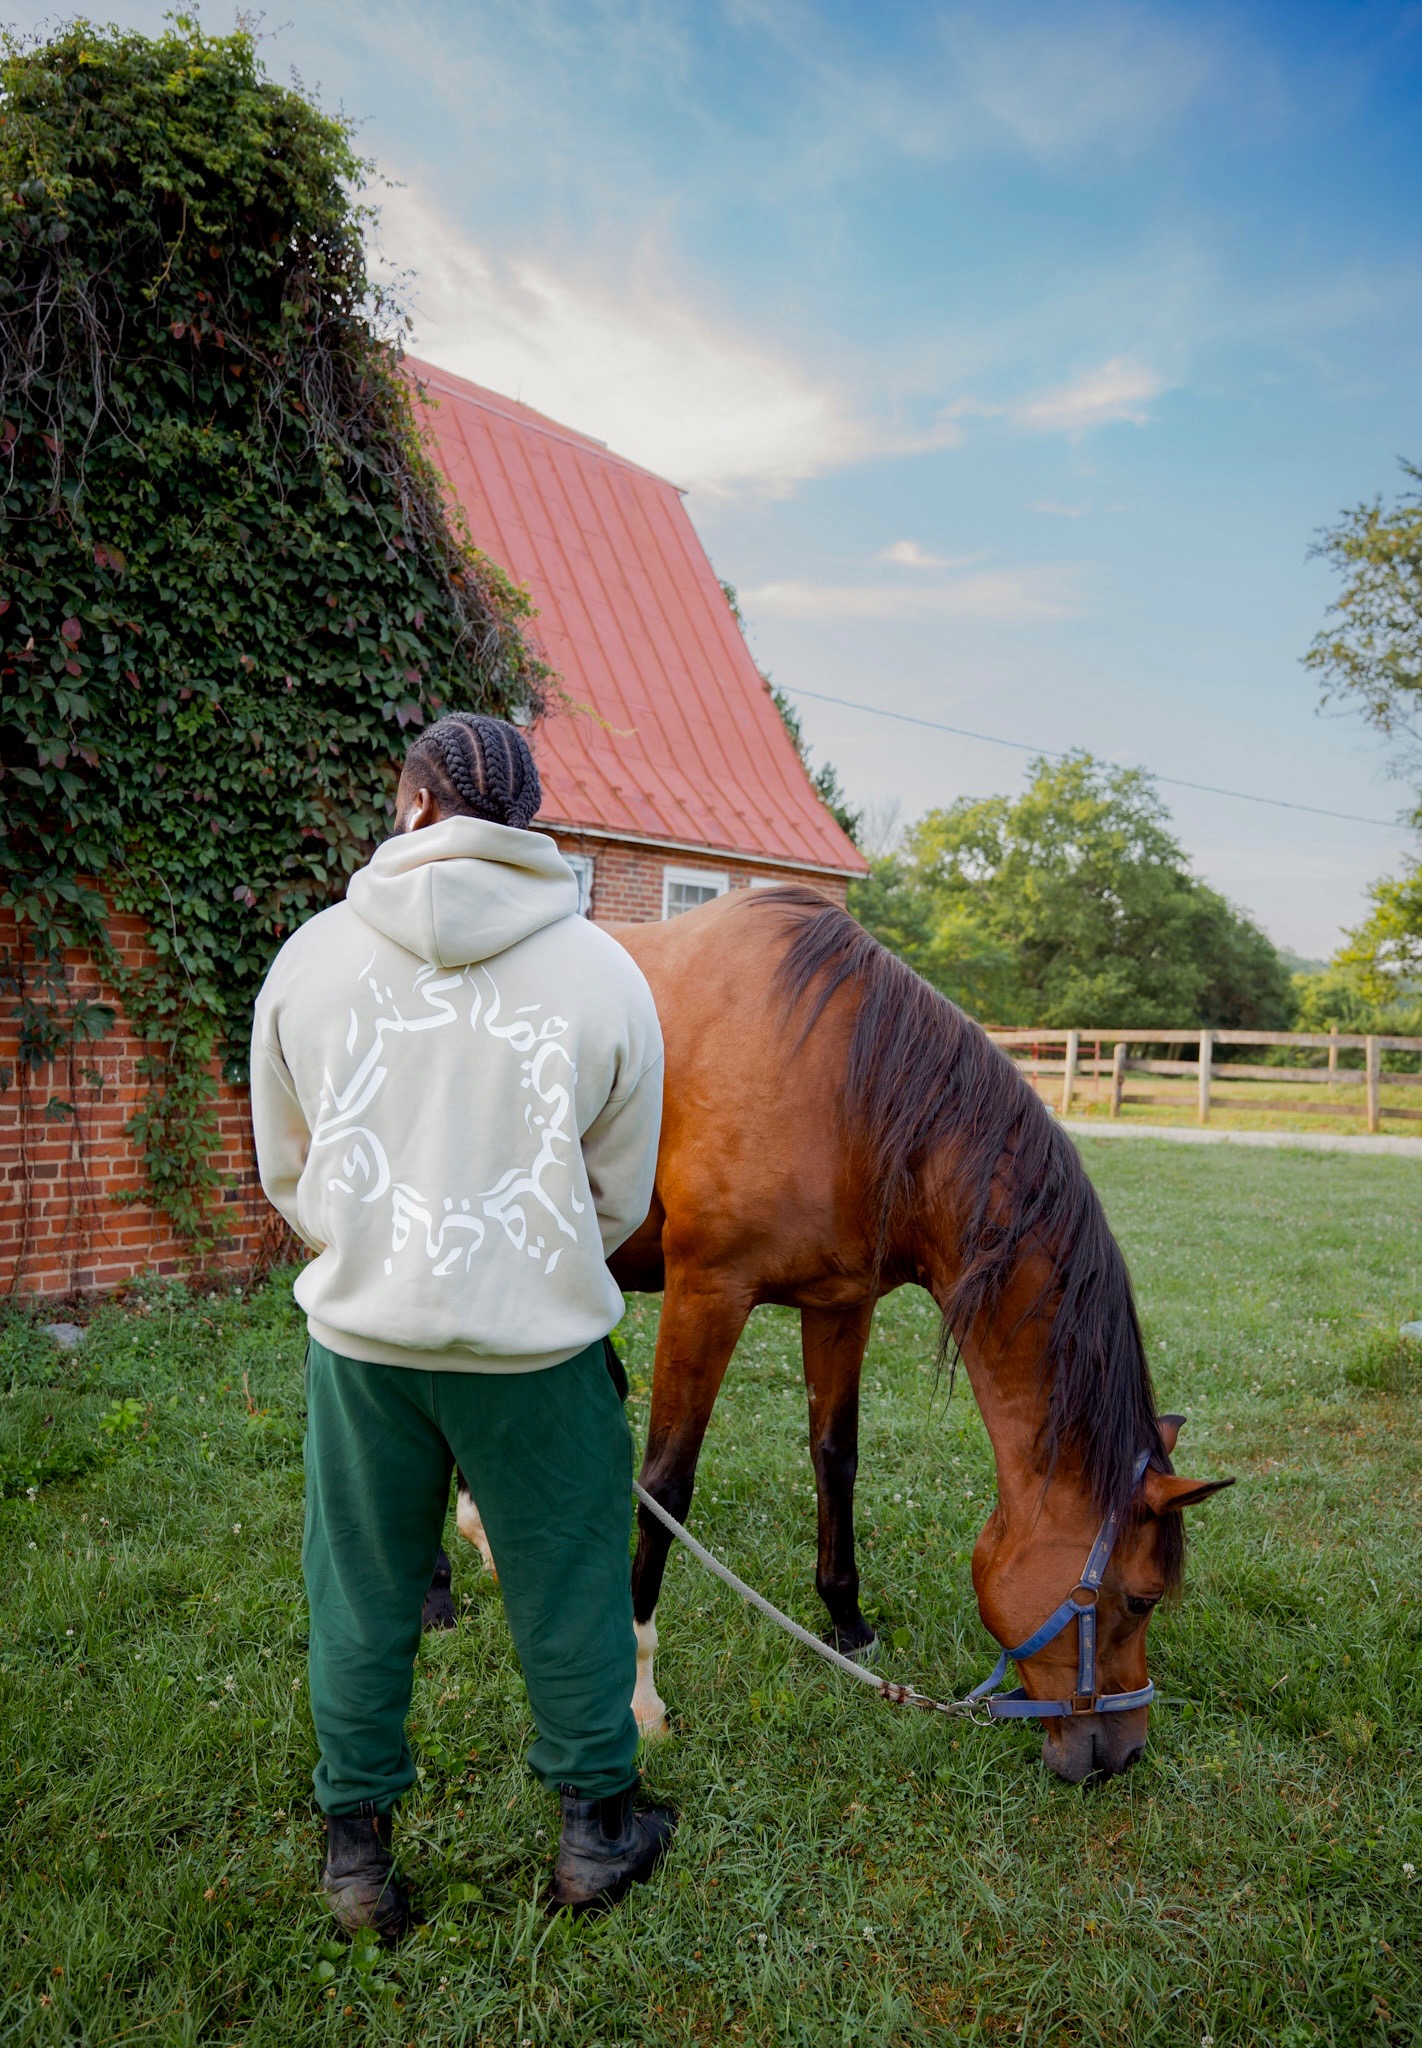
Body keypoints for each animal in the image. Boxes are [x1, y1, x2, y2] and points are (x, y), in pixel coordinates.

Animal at [439, 885, 1232, 1784]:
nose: (1117, 1756)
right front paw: (639, 1694)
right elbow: (668, 1486)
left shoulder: (841, 1306)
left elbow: (836, 1458)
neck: (845, 1084)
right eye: (1141, 1597)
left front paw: (847, 1623)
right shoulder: (708, 1293)